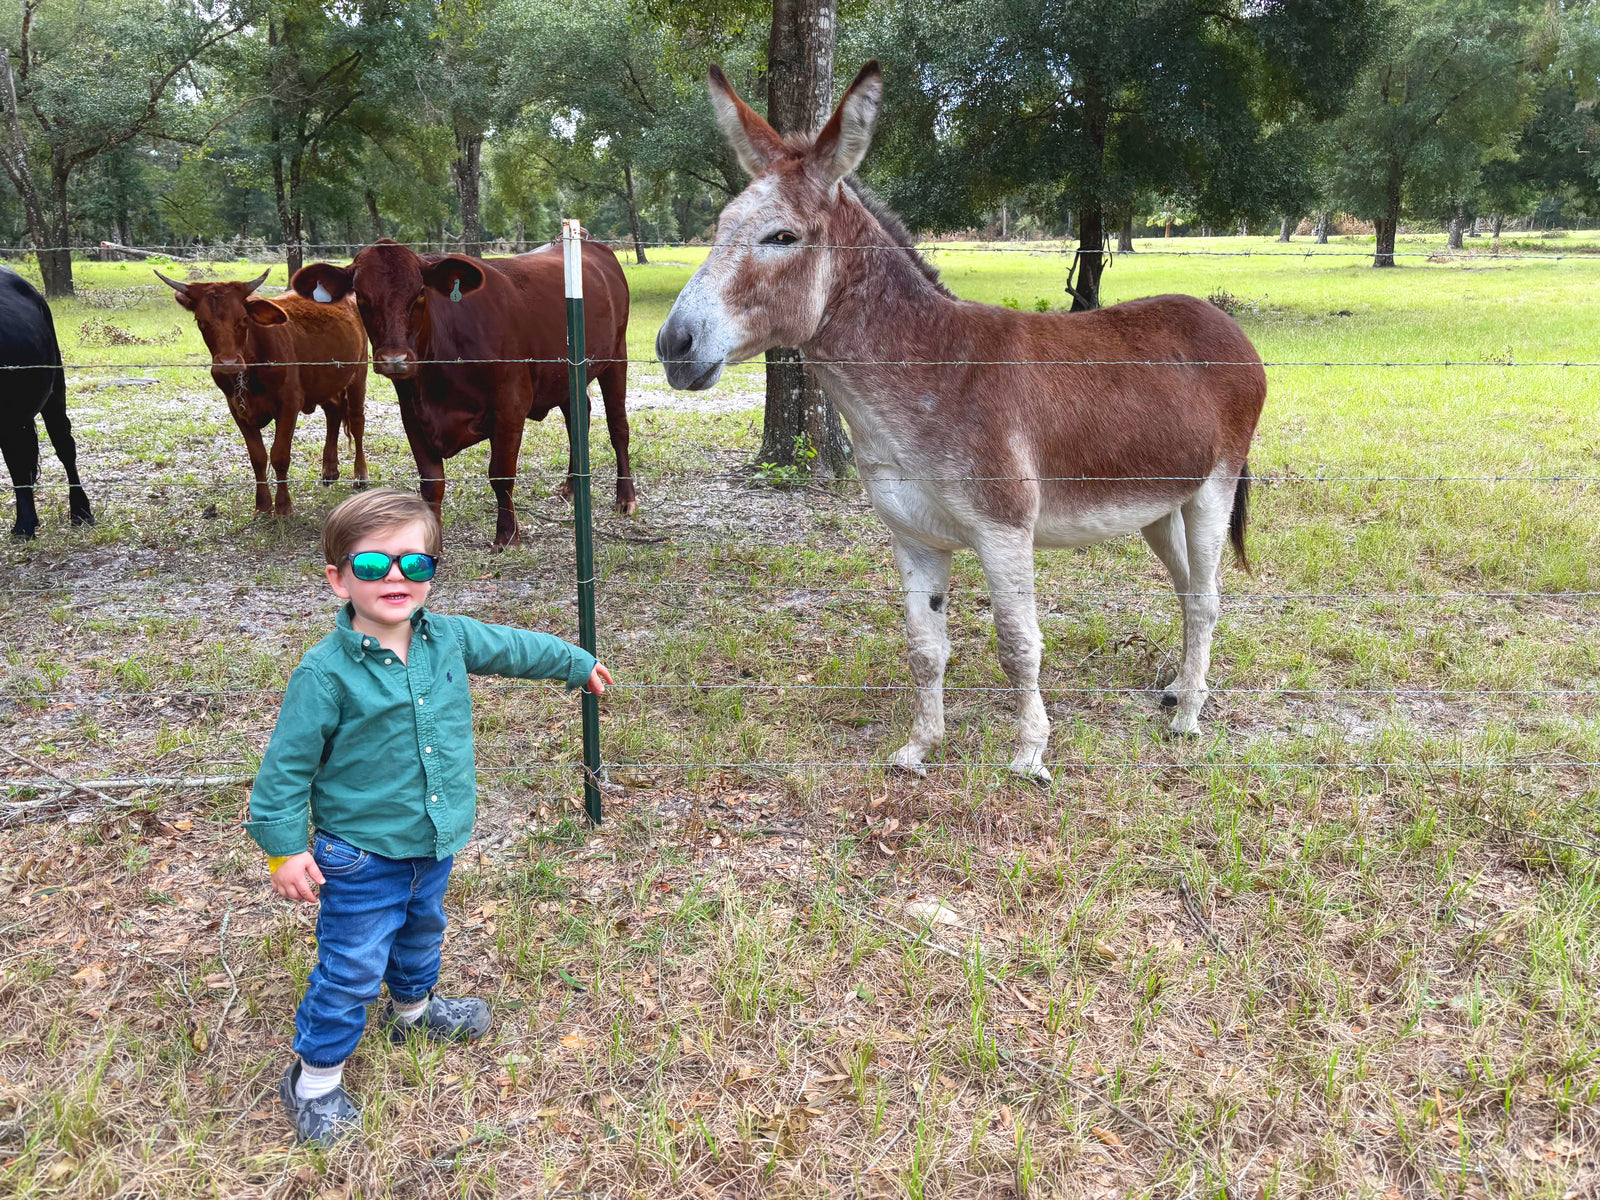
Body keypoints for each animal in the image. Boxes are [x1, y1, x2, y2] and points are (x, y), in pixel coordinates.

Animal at [156, 270, 368, 516]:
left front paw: (284, 506)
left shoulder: (289, 405)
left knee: (356, 420)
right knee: (333, 413)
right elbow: (257, 456)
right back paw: (330, 470)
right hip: (327, 381)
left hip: (359, 372)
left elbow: (280, 455)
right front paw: (263, 505)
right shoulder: (237, 409)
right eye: (200, 321)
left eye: (244, 319)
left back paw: (360, 475)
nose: (228, 363)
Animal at [289, 237, 633, 551]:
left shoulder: (511, 404)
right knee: (579, 418)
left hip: (616, 357)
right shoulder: (411, 413)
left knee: (617, 427)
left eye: (420, 293)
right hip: (567, 376)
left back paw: (625, 497)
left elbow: (501, 474)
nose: (395, 359)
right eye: (360, 296)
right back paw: (572, 486)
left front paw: (506, 536)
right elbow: (431, 481)